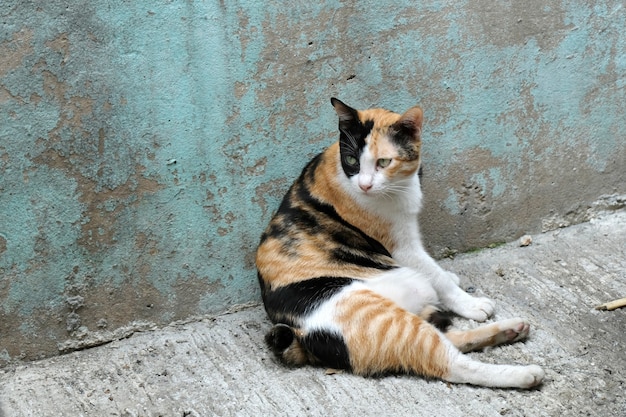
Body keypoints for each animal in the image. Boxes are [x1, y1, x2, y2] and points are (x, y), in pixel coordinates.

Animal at [256, 97, 544, 386]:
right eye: (351, 160)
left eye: (383, 162)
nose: (364, 185)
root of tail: (301, 339)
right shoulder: (403, 247)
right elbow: (436, 275)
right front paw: (469, 303)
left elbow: (437, 272)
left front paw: (452, 278)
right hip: (389, 322)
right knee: (449, 364)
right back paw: (524, 374)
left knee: (450, 341)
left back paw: (512, 330)